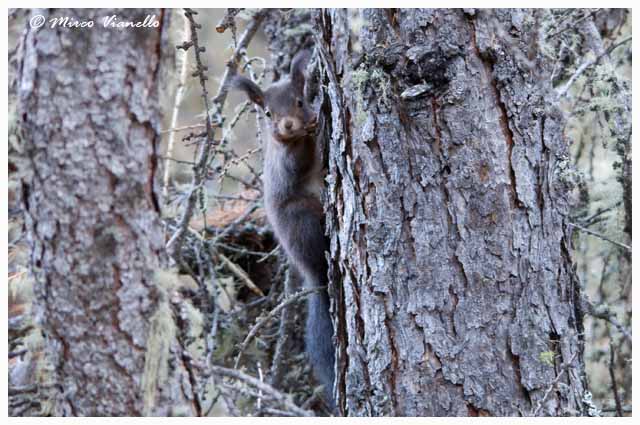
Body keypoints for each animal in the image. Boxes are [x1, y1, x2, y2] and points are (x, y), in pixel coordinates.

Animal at [230, 50, 335, 410]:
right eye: (267, 113)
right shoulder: (284, 162)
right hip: (301, 218)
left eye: (300, 101)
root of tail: (312, 274)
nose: (288, 125)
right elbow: (295, 162)